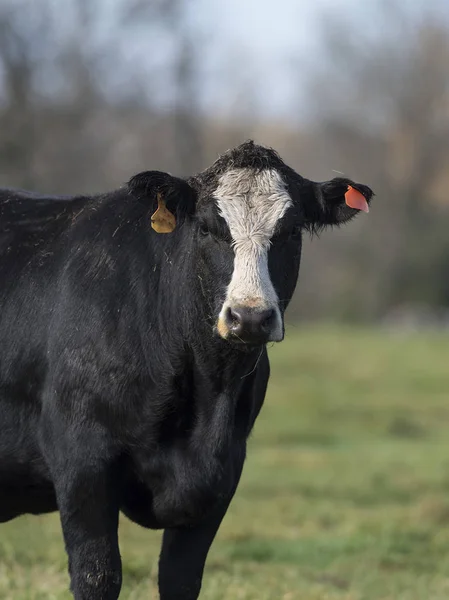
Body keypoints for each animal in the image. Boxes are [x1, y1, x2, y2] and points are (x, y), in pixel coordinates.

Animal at [0, 142, 372, 600]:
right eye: (208, 228)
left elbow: (180, 579)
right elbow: (97, 576)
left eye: (290, 231)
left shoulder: (221, 476)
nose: (250, 317)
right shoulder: (81, 461)